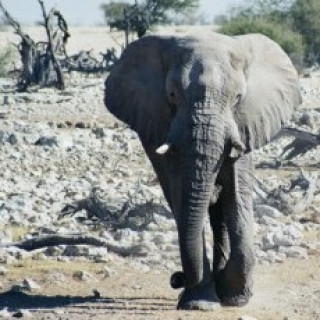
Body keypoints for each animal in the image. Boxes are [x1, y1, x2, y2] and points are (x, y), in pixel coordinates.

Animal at [104, 31, 302, 310]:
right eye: (172, 94)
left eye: (238, 98)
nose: (176, 279)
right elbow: (182, 195)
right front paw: (199, 303)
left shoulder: (244, 125)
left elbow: (237, 194)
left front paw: (235, 297)